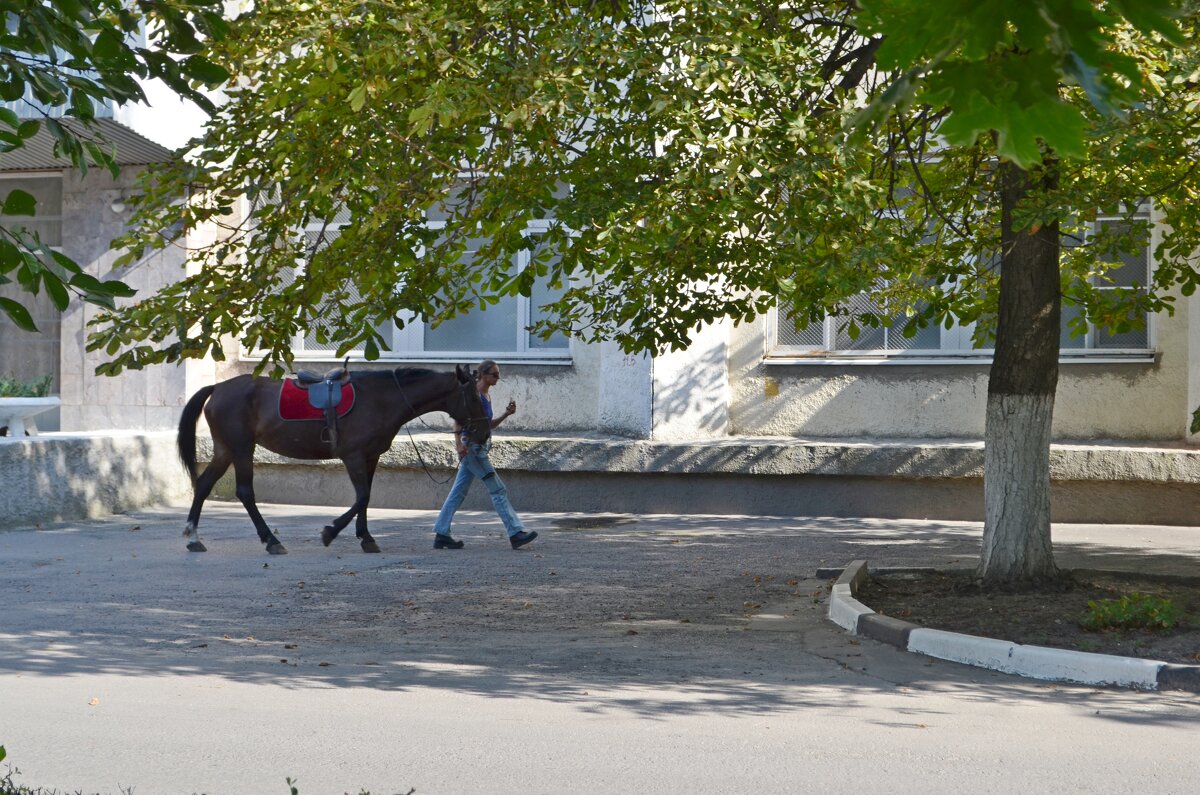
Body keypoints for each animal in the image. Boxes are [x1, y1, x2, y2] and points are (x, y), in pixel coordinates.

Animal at [175, 365, 492, 554]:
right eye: (474, 397)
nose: (484, 433)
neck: (380, 398)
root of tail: (217, 388)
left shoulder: (370, 457)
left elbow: (366, 497)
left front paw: (366, 537)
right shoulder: (353, 456)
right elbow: (362, 496)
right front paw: (330, 532)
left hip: (225, 449)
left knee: (203, 485)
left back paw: (193, 537)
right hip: (242, 449)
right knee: (245, 492)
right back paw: (271, 540)